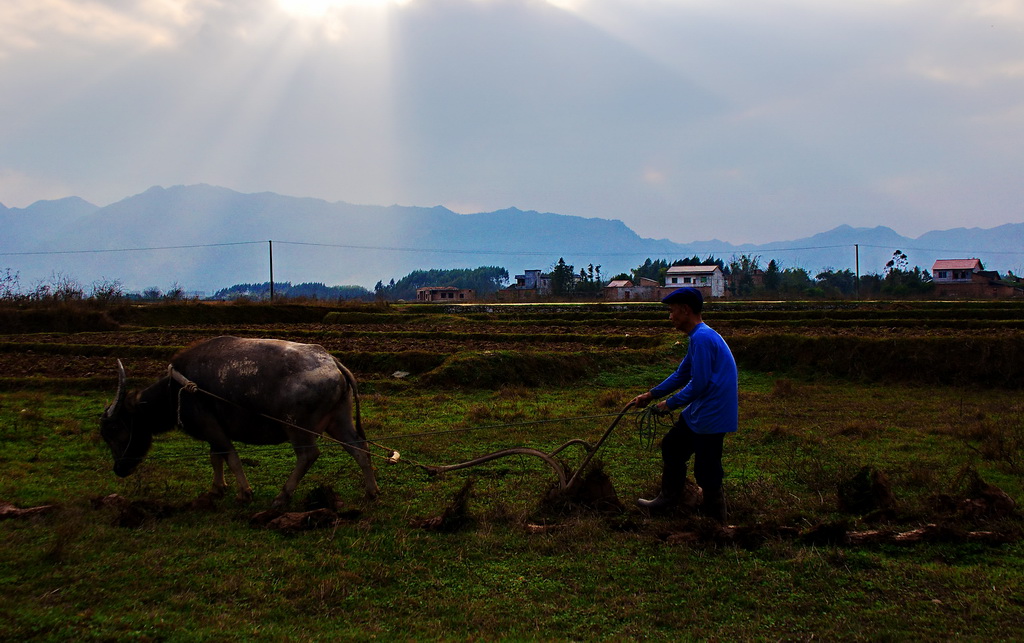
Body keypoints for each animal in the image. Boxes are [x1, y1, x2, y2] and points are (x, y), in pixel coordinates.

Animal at [100, 335, 380, 507]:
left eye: (113, 428)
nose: (119, 469)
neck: (175, 391)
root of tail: (333, 362)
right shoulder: (214, 431)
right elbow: (215, 458)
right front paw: (216, 489)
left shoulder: (212, 428)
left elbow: (231, 457)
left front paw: (244, 493)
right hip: (339, 420)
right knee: (359, 448)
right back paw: (372, 491)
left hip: (296, 428)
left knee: (308, 455)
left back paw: (282, 496)